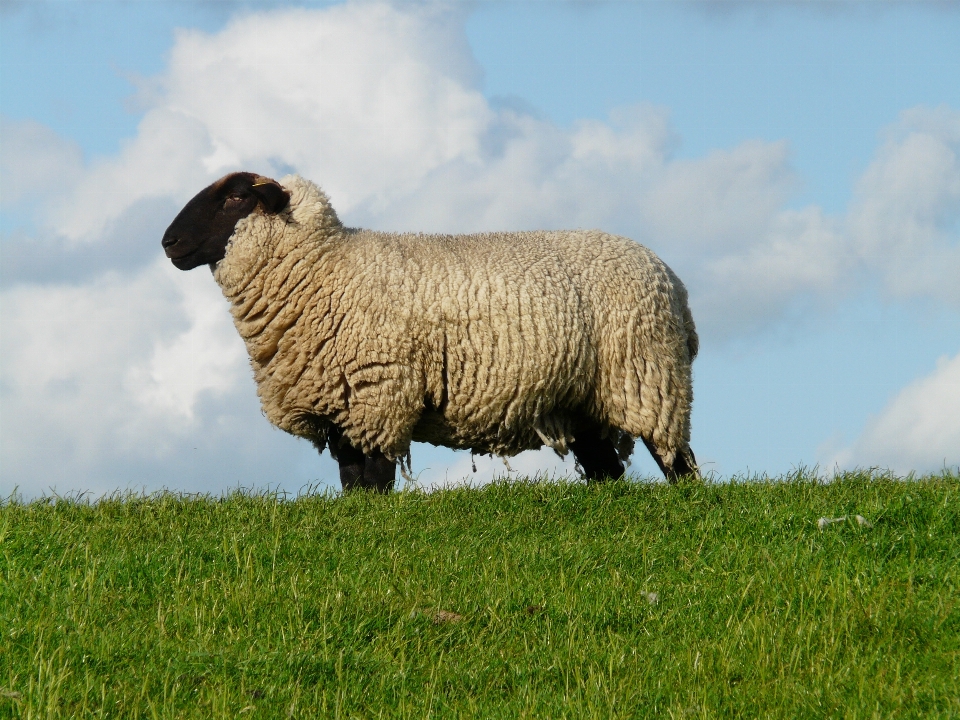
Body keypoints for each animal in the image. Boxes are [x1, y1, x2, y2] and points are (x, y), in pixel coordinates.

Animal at [158, 172, 696, 492]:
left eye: (235, 196)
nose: (169, 242)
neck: (324, 268)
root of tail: (672, 280)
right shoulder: (343, 408)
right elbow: (352, 484)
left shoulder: (378, 396)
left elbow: (374, 481)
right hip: (585, 400)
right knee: (607, 470)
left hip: (650, 378)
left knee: (677, 459)